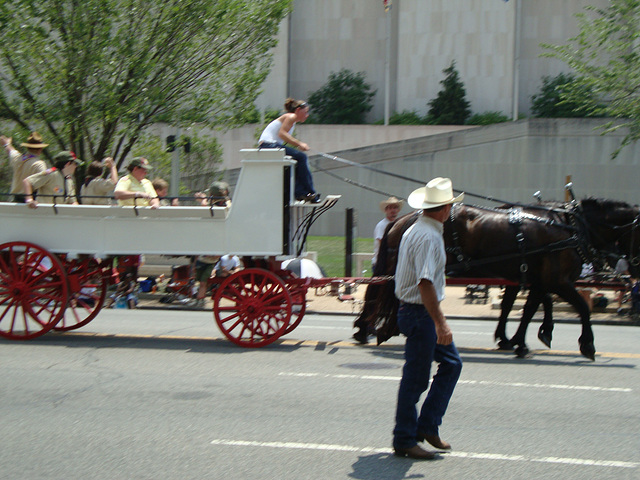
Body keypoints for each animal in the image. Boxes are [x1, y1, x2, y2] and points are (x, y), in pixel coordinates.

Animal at [356, 197, 640, 358]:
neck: (569, 226)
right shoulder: (557, 280)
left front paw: (518, 339)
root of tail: (403, 219)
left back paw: (370, 329)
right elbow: (581, 307)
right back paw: (370, 329)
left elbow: (527, 308)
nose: (630, 267)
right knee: (380, 294)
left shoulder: (536, 279)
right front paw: (587, 344)